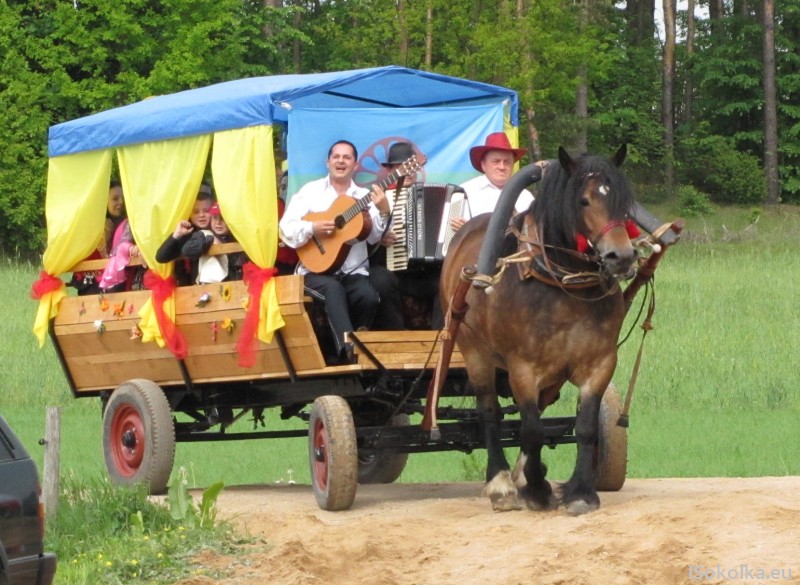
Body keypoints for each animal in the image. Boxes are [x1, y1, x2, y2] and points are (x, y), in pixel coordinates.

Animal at [438, 144, 636, 512]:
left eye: (623, 201)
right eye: (583, 200)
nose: (622, 256)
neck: (564, 286)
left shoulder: (599, 363)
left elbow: (584, 427)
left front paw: (580, 492)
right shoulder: (522, 367)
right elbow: (531, 429)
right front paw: (538, 490)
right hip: (475, 354)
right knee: (490, 412)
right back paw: (501, 482)